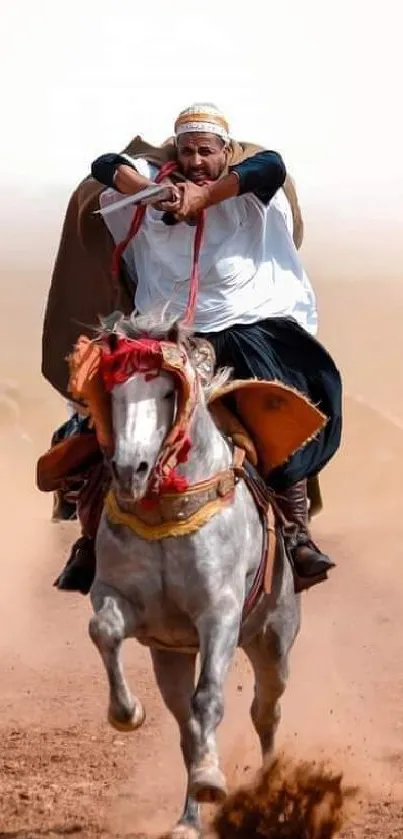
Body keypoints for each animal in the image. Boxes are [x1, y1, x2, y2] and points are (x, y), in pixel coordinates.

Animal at [88, 312, 302, 836]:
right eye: (114, 391)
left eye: (168, 391)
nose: (131, 469)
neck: (169, 512)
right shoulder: (123, 600)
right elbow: (104, 629)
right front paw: (127, 713)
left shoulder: (220, 614)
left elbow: (210, 700)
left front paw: (211, 778)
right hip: (171, 656)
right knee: (187, 728)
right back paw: (188, 819)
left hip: (273, 640)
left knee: (266, 710)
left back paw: (270, 787)